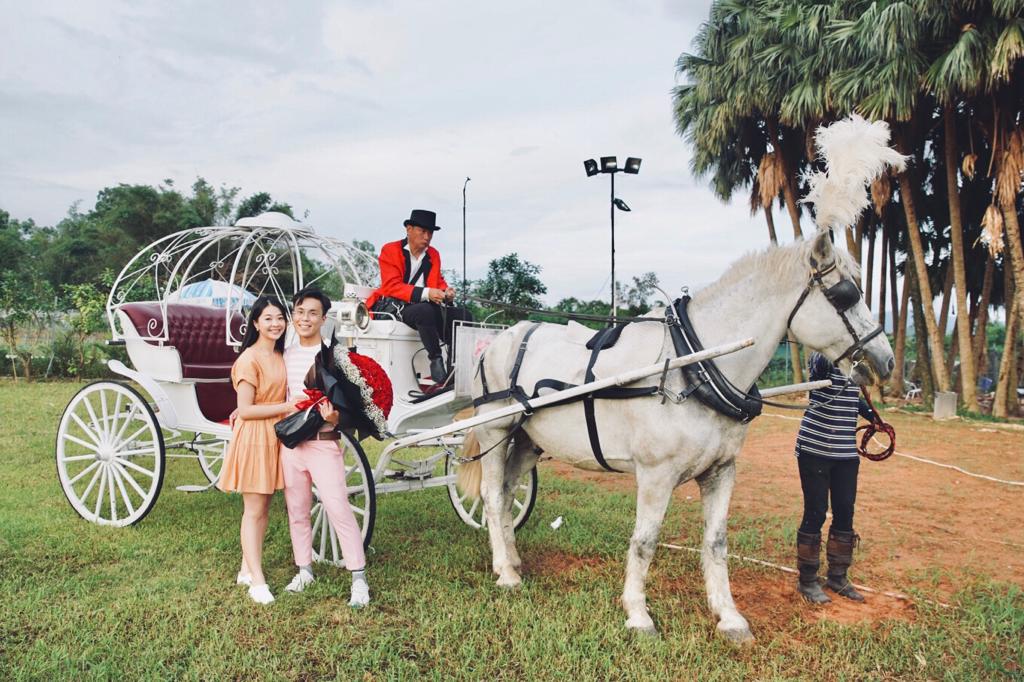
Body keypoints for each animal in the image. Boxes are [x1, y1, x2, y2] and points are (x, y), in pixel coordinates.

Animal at [462, 114, 905, 638]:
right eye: (845, 295)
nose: (886, 360)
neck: (696, 365)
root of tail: (502, 337)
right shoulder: (656, 474)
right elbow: (645, 539)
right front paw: (637, 612)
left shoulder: (721, 471)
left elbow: (715, 542)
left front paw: (729, 615)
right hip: (496, 429)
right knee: (492, 496)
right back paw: (506, 573)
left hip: (530, 439)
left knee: (510, 493)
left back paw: (511, 561)